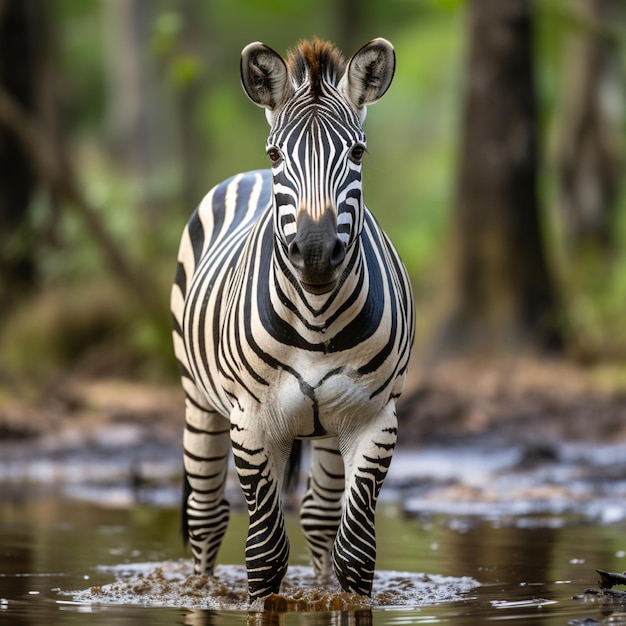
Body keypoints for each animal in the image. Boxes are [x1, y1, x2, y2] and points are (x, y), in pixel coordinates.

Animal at [171, 36, 414, 596]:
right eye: (277, 153)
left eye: (357, 152)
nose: (317, 252)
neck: (317, 318)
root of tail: (248, 177)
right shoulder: (252, 424)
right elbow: (265, 556)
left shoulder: (373, 421)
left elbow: (355, 554)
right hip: (198, 396)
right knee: (206, 515)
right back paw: (201, 591)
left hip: (327, 429)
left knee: (319, 516)